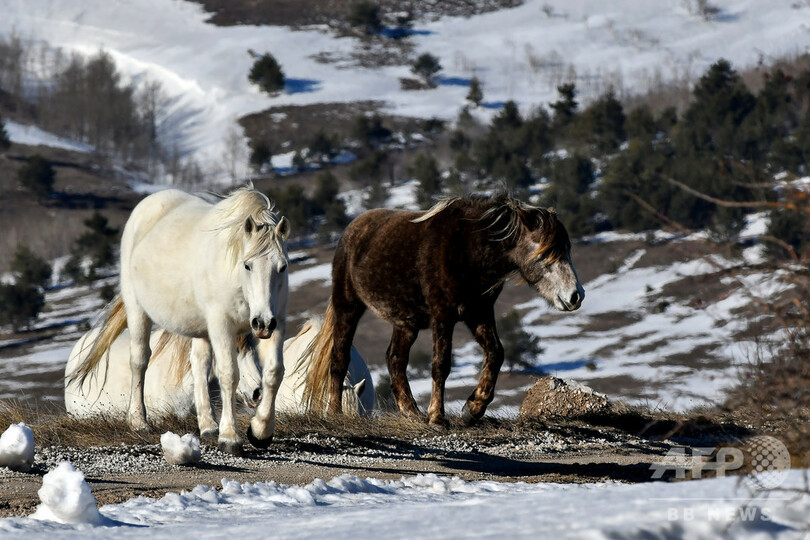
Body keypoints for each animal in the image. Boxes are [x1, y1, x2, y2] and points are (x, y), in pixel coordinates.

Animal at [66, 188, 288, 454]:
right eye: (248, 265)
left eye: (282, 267)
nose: (262, 323)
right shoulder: (222, 325)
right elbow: (229, 374)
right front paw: (230, 438)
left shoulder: (276, 322)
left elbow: (274, 372)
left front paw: (260, 431)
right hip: (137, 308)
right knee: (139, 360)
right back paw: (139, 421)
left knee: (200, 363)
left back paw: (208, 426)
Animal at [300, 192, 584, 428]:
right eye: (544, 253)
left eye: (568, 249)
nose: (576, 295)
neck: (468, 248)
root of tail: (352, 229)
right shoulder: (443, 315)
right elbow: (441, 364)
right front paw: (437, 417)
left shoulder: (478, 312)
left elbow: (496, 353)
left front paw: (473, 409)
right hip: (348, 305)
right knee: (339, 359)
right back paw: (335, 413)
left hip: (406, 323)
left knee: (395, 359)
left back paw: (411, 411)